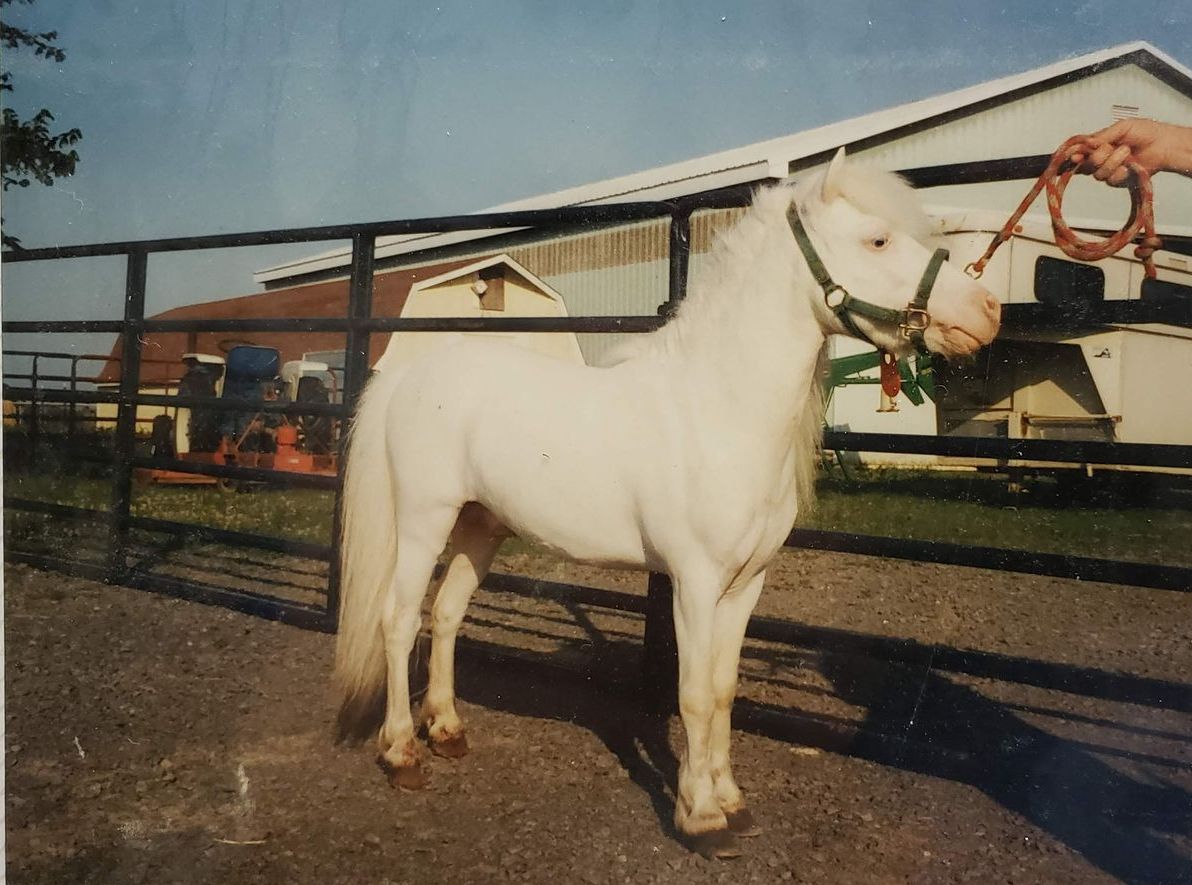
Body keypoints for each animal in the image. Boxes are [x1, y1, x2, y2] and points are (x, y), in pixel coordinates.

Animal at [333, 148, 1001, 858]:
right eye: (878, 240)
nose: (987, 309)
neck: (718, 410)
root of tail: (409, 374)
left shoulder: (745, 584)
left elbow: (725, 690)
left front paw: (731, 801)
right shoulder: (694, 582)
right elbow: (695, 696)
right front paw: (700, 818)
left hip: (480, 526)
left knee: (447, 614)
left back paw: (449, 732)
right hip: (423, 521)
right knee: (399, 619)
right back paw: (403, 755)